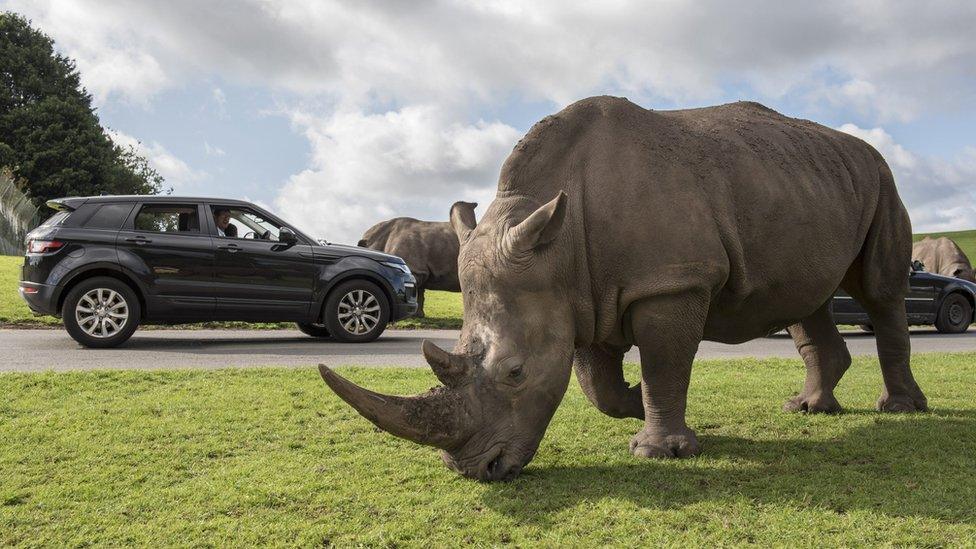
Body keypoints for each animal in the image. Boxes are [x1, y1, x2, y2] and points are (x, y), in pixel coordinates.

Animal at [322, 95, 932, 480]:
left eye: (515, 373)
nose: (477, 472)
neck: (558, 245)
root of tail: (863, 150)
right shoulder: (579, 293)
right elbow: (599, 387)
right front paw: (638, 406)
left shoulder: (671, 282)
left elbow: (664, 363)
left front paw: (659, 451)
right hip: (806, 185)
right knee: (808, 298)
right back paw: (808, 410)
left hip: (881, 178)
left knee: (879, 291)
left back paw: (901, 410)